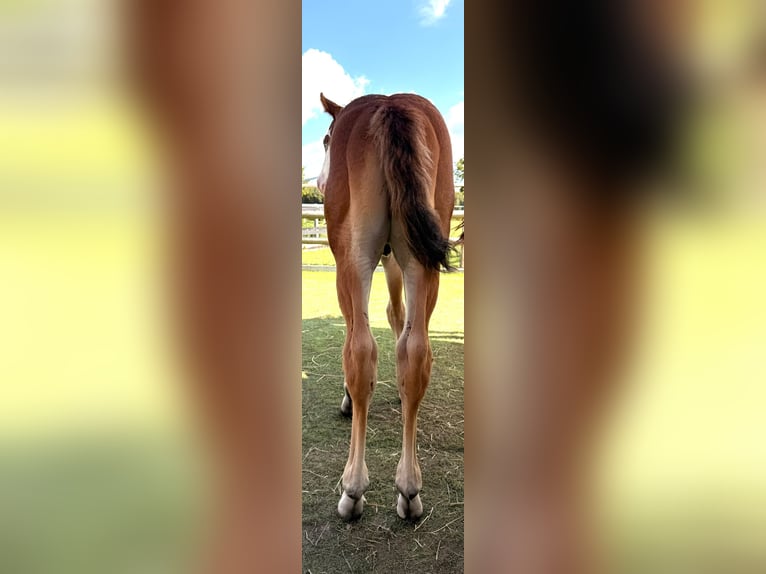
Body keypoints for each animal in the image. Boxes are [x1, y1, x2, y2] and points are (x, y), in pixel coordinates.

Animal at [317, 92, 456, 520]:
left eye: (326, 139)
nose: (319, 182)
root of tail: (392, 107)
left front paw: (349, 397)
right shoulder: (395, 258)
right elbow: (399, 317)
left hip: (355, 257)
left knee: (361, 350)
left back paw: (353, 490)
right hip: (422, 260)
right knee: (416, 350)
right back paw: (409, 490)